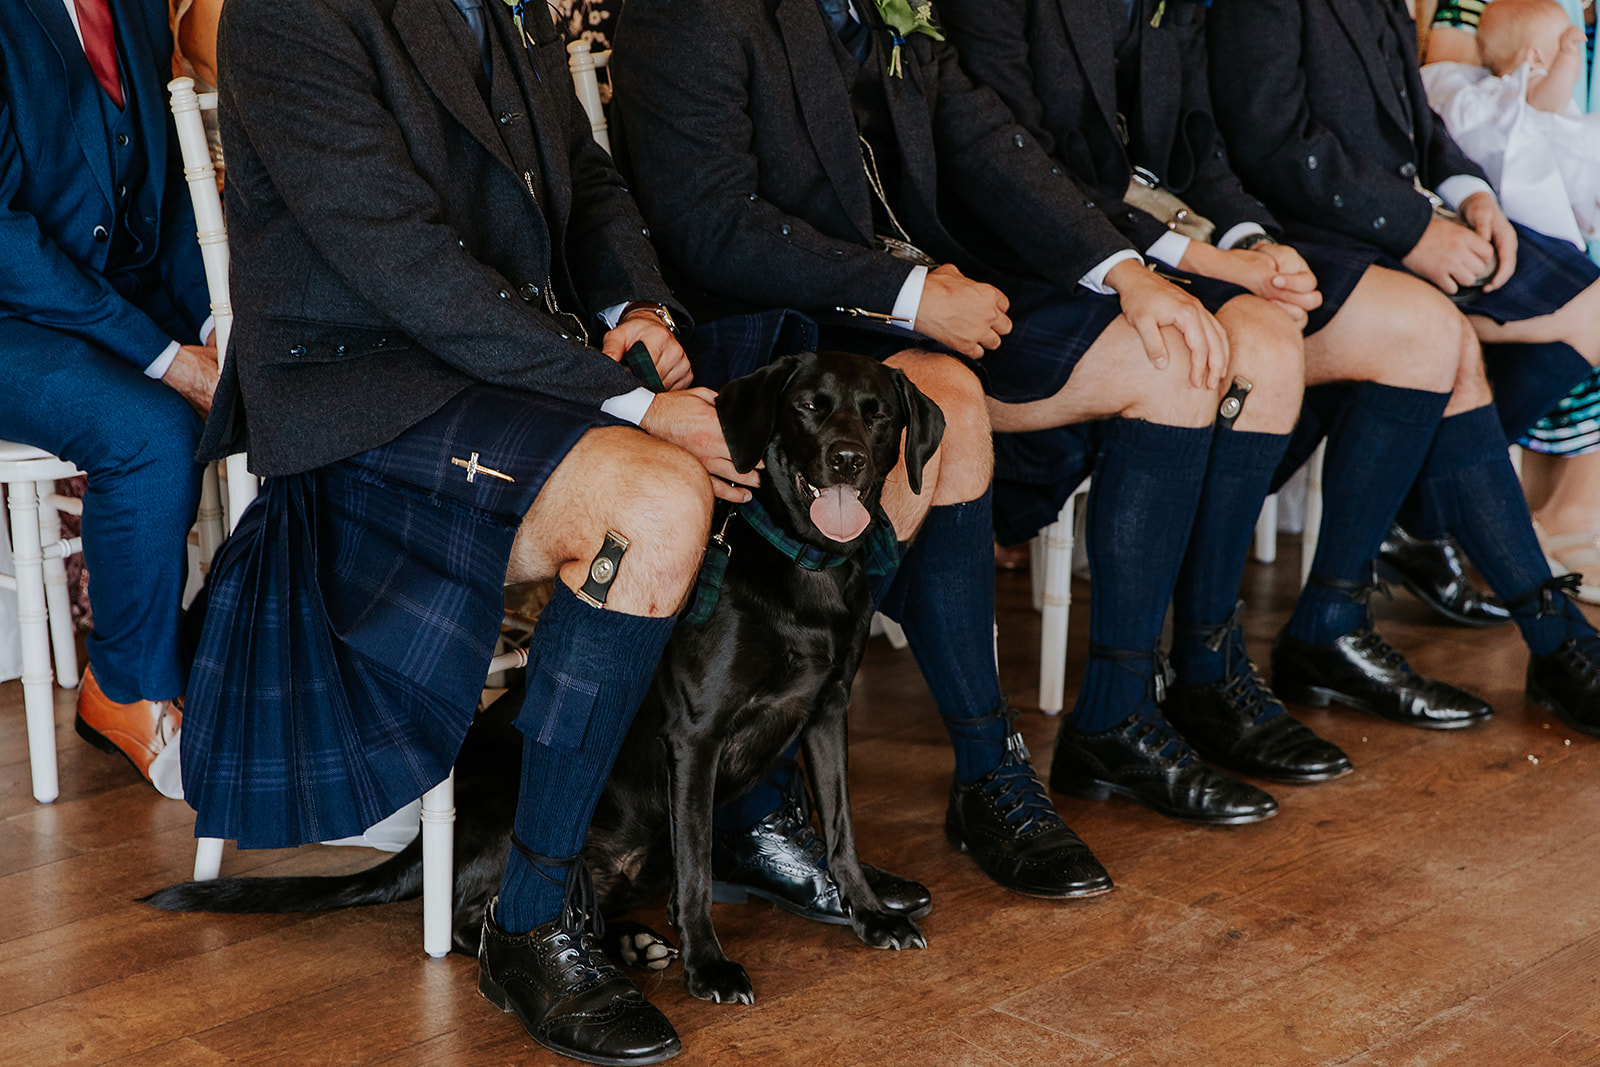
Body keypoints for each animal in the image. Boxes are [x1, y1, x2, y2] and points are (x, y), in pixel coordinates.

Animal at [145, 351, 940, 1011]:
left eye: (878, 413)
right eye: (809, 405)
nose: (846, 459)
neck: (805, 566)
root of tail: (420, 849)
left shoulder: (827, 712)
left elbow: (841, 829)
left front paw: (869, 911)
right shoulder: (698, 737)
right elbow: (696, 873)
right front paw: (710, 966)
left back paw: (629, 942)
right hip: (514, 821)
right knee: (474, 920)